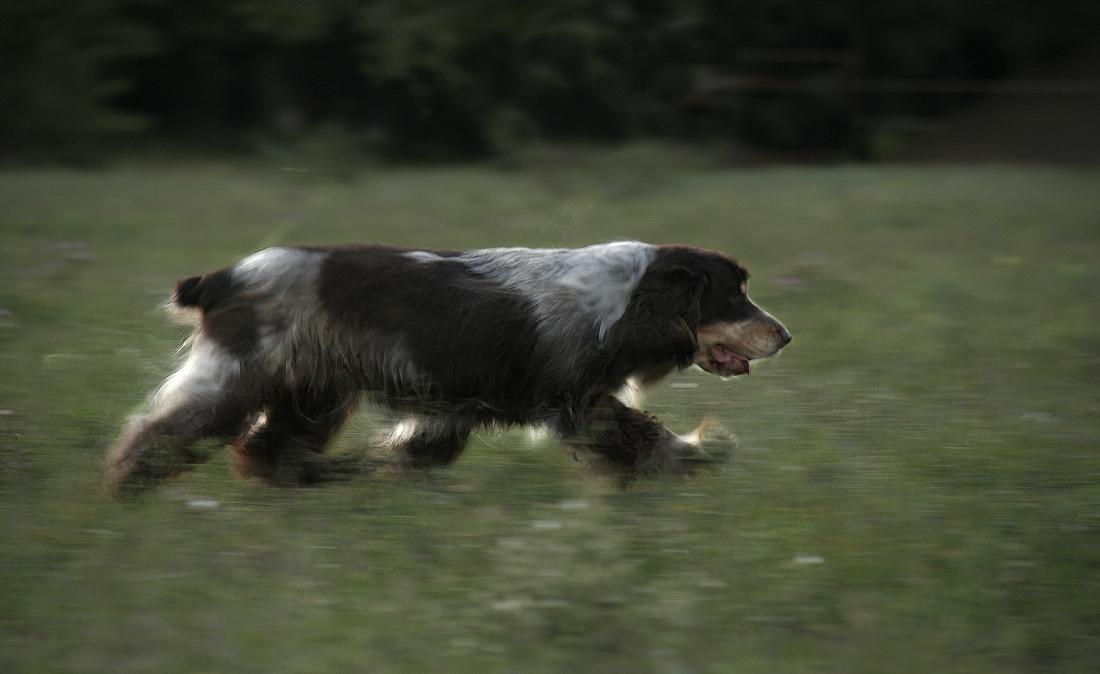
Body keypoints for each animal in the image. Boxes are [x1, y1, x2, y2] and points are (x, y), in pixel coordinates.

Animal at [103, 241, 792, 494]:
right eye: (734, 295)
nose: (785, 335)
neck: (624, 300)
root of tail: (222, 278)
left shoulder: (453, 409)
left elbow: (418, 450)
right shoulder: (574, 401)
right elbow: (646, 437)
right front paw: (701, 452)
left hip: (314, 391)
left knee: (269, 449)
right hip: (239, 376)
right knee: (162, 434)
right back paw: (126, 493)